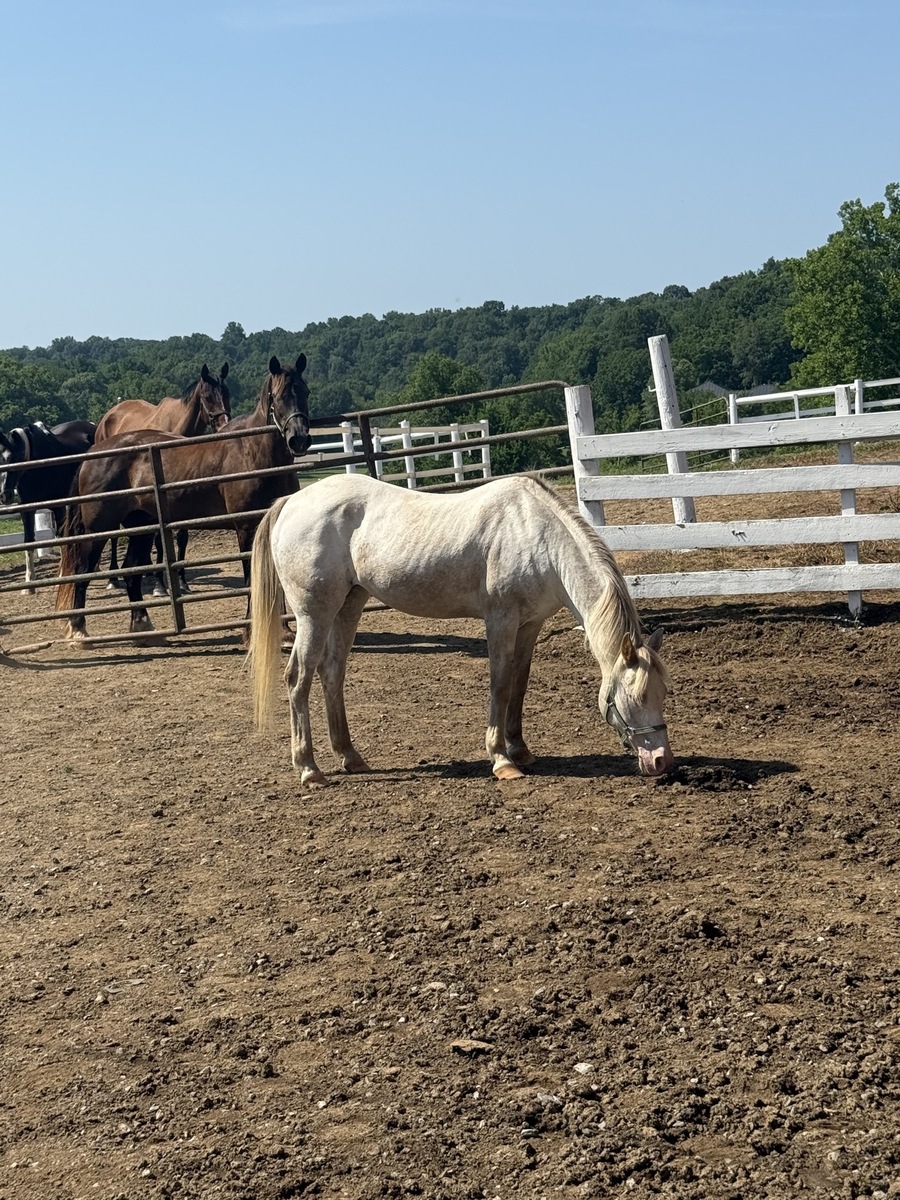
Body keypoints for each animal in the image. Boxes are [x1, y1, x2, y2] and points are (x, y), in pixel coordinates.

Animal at [0, 419, 97, 590]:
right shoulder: (27, 509)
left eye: (18, 456)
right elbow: (28, 541)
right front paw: (29, 583)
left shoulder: (58, 506)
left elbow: (60, 537)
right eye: (1, 458)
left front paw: (62, 575)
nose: (5, 495)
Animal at [95, 363, 232, 592]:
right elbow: (160, 539)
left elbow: (182, 537)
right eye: (206, 397)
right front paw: (160, 583)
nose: (224, 426)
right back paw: (114, 578)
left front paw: (182, 580)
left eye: (227, 393)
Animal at [248, 473, 674, 784]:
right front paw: (502, 760)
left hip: (348, 605)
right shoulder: (501, 619)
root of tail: (292, 502)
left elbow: (519, 685)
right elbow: (500, 685)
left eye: (663, 692)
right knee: (298, 678)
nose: (660, 761)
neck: (536, 534)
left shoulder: (531, 623)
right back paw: (309, 769)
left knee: (332, 673)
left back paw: (351, 757)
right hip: (314, 614)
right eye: (635, 697)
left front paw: (521, 750)